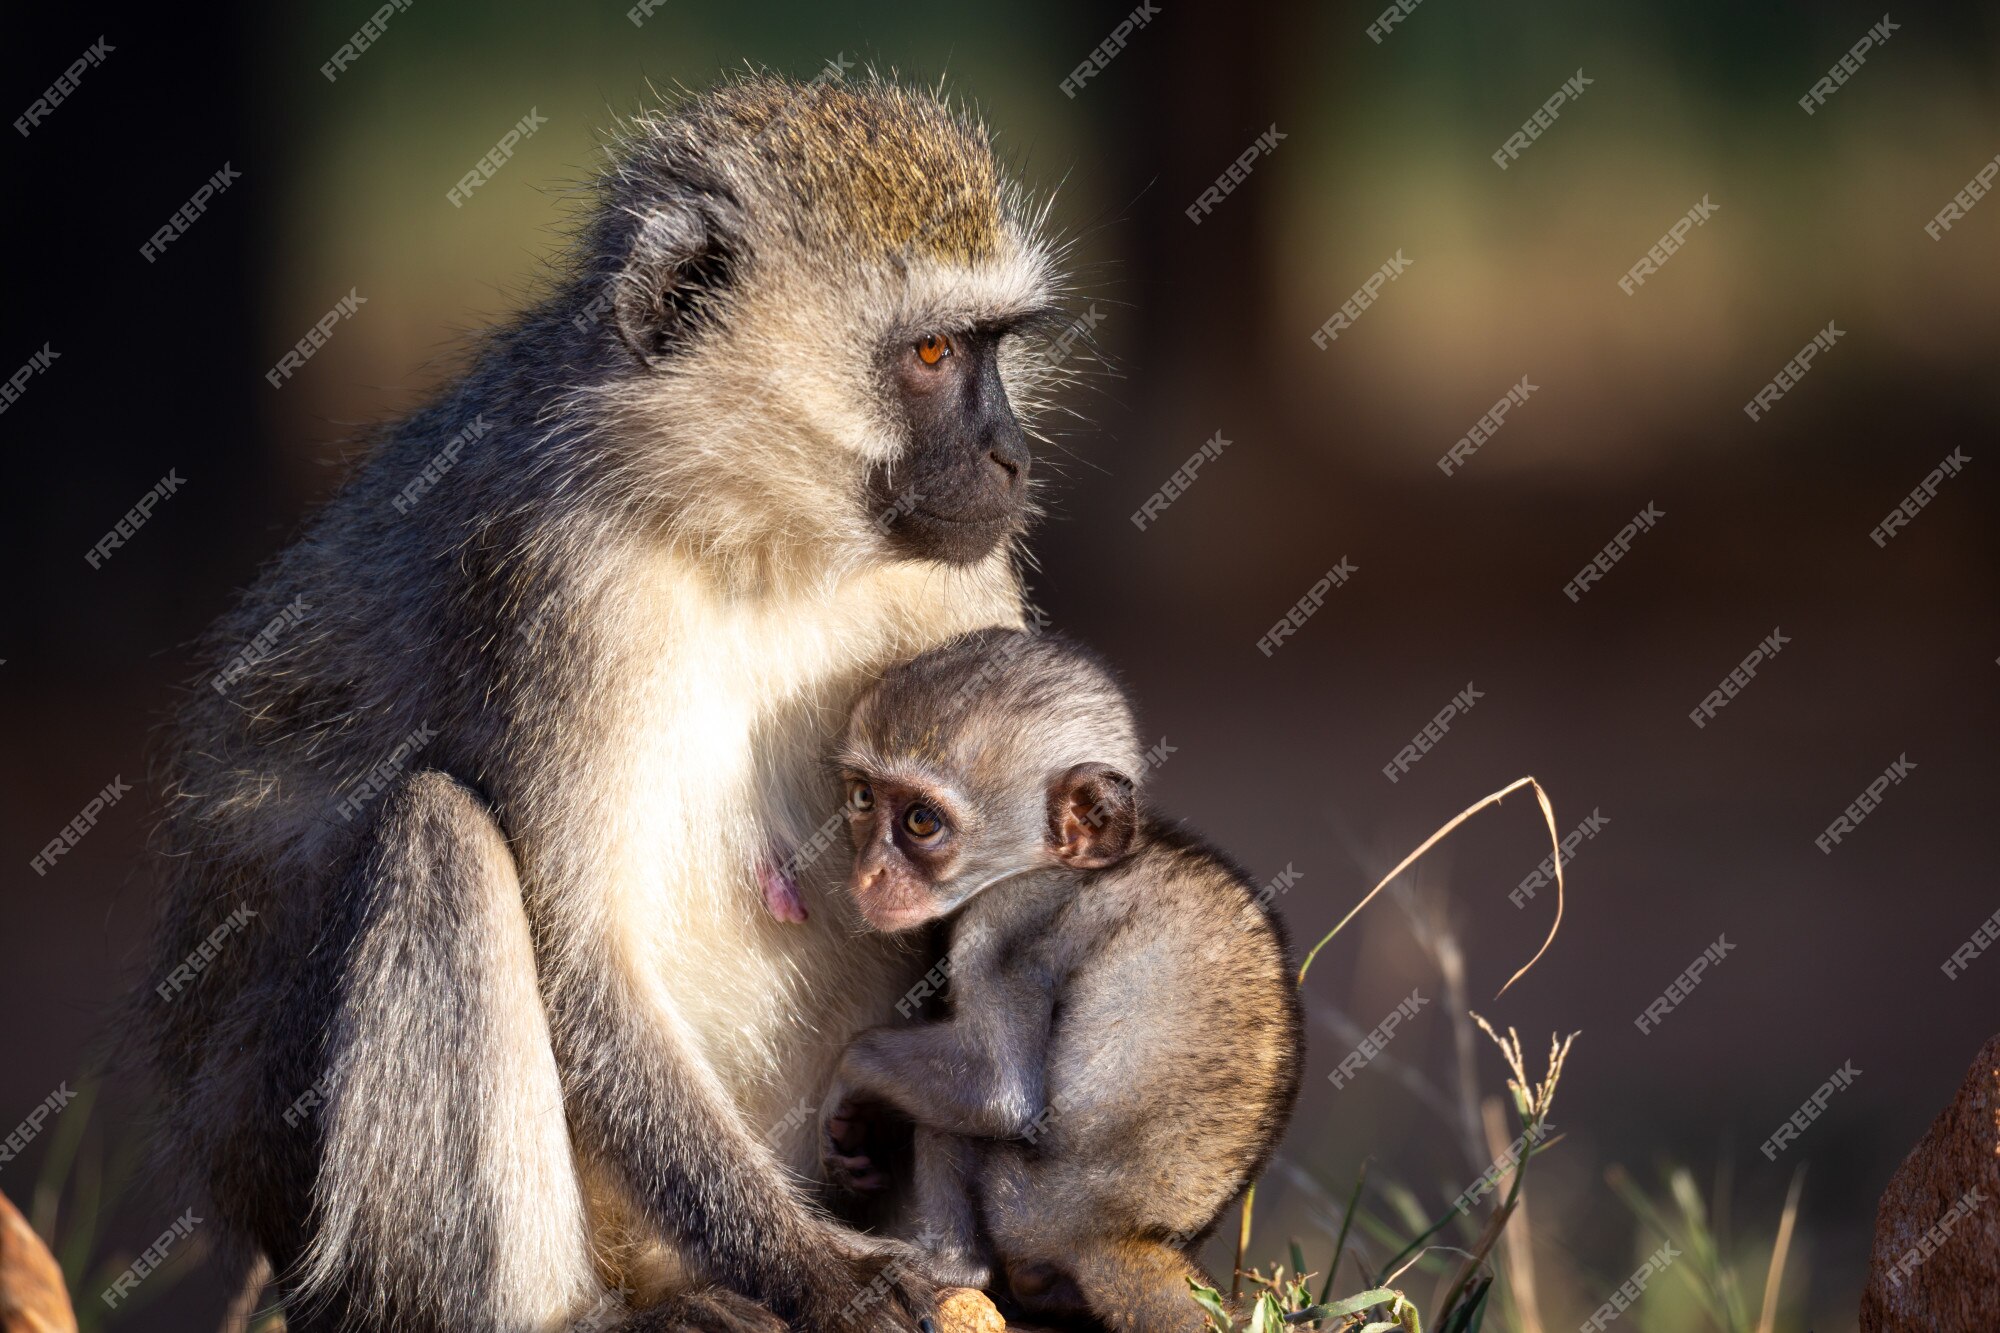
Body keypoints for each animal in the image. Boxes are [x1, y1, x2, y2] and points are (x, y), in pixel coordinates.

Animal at [145, 78, 1080, 1328]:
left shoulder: (961, 584)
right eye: (932, 352)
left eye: (996, 349)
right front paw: (821, 1272)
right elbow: (581, 951)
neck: (750, 538)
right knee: (441, 838)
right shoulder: (557, 579)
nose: (1010, 456)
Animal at [816, 628, 1312, 1320]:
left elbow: (1000, 1090)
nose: (869, 873)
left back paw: (948, 1266)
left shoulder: (1002, 927)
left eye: (921, 822)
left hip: (1024, 1203)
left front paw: (849, 1079)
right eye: (864, 798)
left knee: (955, 1126)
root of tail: (1114, 1235)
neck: (1052, 865)